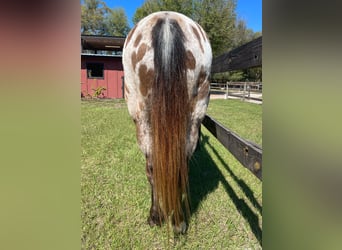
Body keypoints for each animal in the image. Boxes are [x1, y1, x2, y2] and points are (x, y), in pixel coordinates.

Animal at [121, 11, 212, 234]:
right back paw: (176, 221)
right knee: (176, 164)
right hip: (194, 112)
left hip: (141, 116)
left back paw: (156, 216)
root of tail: (167, 20)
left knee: (153, 167)